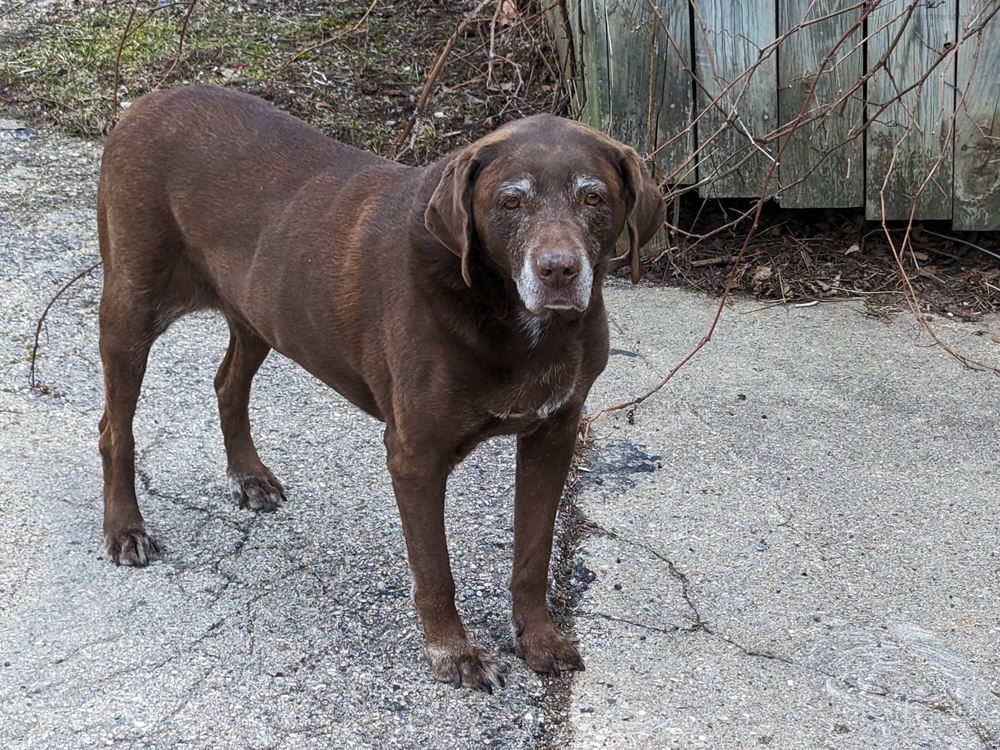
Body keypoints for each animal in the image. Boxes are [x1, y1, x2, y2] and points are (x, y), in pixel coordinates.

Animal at [99, 86, 664, 692]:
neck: (515, 320)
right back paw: (125, 528)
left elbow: (533, 555)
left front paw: (536, 638)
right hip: (131, 309)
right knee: (114, 427)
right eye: (511, 203)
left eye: (593, 197)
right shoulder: (415, 457)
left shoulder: (553, 433)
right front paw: (454, 653)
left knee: (228, 382)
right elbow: (435, 570)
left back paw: (248, 476)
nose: (558, 270)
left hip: (260, 309)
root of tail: (146, 102)